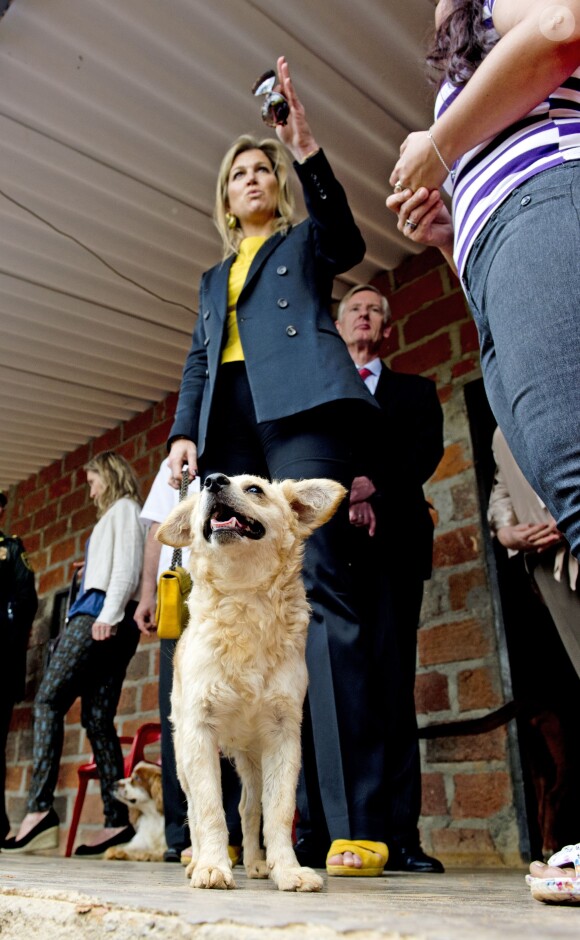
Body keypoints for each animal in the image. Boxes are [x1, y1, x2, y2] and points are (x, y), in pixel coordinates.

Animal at [156, 474, 344, 892]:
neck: (244, 603)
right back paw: (198, 860)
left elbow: (278, 812)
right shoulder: (199, 734)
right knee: (194, 810)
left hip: (252, 760)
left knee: (248, 807)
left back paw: (258, 863)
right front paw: (212, 866)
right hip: (184, 759)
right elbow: (210, 809)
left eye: (255, 489)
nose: (212, 480)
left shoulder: (283, 736)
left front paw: (286, 870)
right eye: (201, 493)